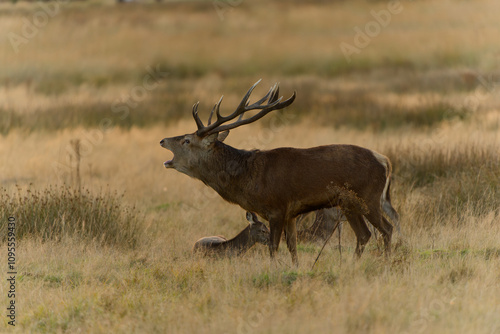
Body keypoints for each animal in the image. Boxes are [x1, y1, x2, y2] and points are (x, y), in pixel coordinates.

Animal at [160, 79, 398, 264]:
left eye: (186, 140)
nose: (163, 140)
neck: (248, 181)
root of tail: (385, 161)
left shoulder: (278, 207)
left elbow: (273, 248)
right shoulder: (292, 213)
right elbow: (293, 247)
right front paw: (296, 269)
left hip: (368, 197)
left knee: (386, 228)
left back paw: (385, 263)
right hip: (349, 203)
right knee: (365, 234)